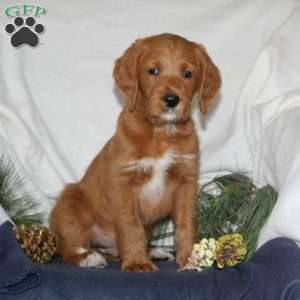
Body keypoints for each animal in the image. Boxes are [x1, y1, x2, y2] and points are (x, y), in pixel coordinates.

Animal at [49, 33, 221, 272]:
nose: (171, 100)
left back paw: (154, 251)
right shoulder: (122, 182)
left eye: (188, 74)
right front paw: (138, 263)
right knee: (67, 247)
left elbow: (186, 224)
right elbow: (131, 227)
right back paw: (87, 257)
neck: (161, 132)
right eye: (153, 71)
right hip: (71, 203)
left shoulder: (186, 181)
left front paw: (189, 258)